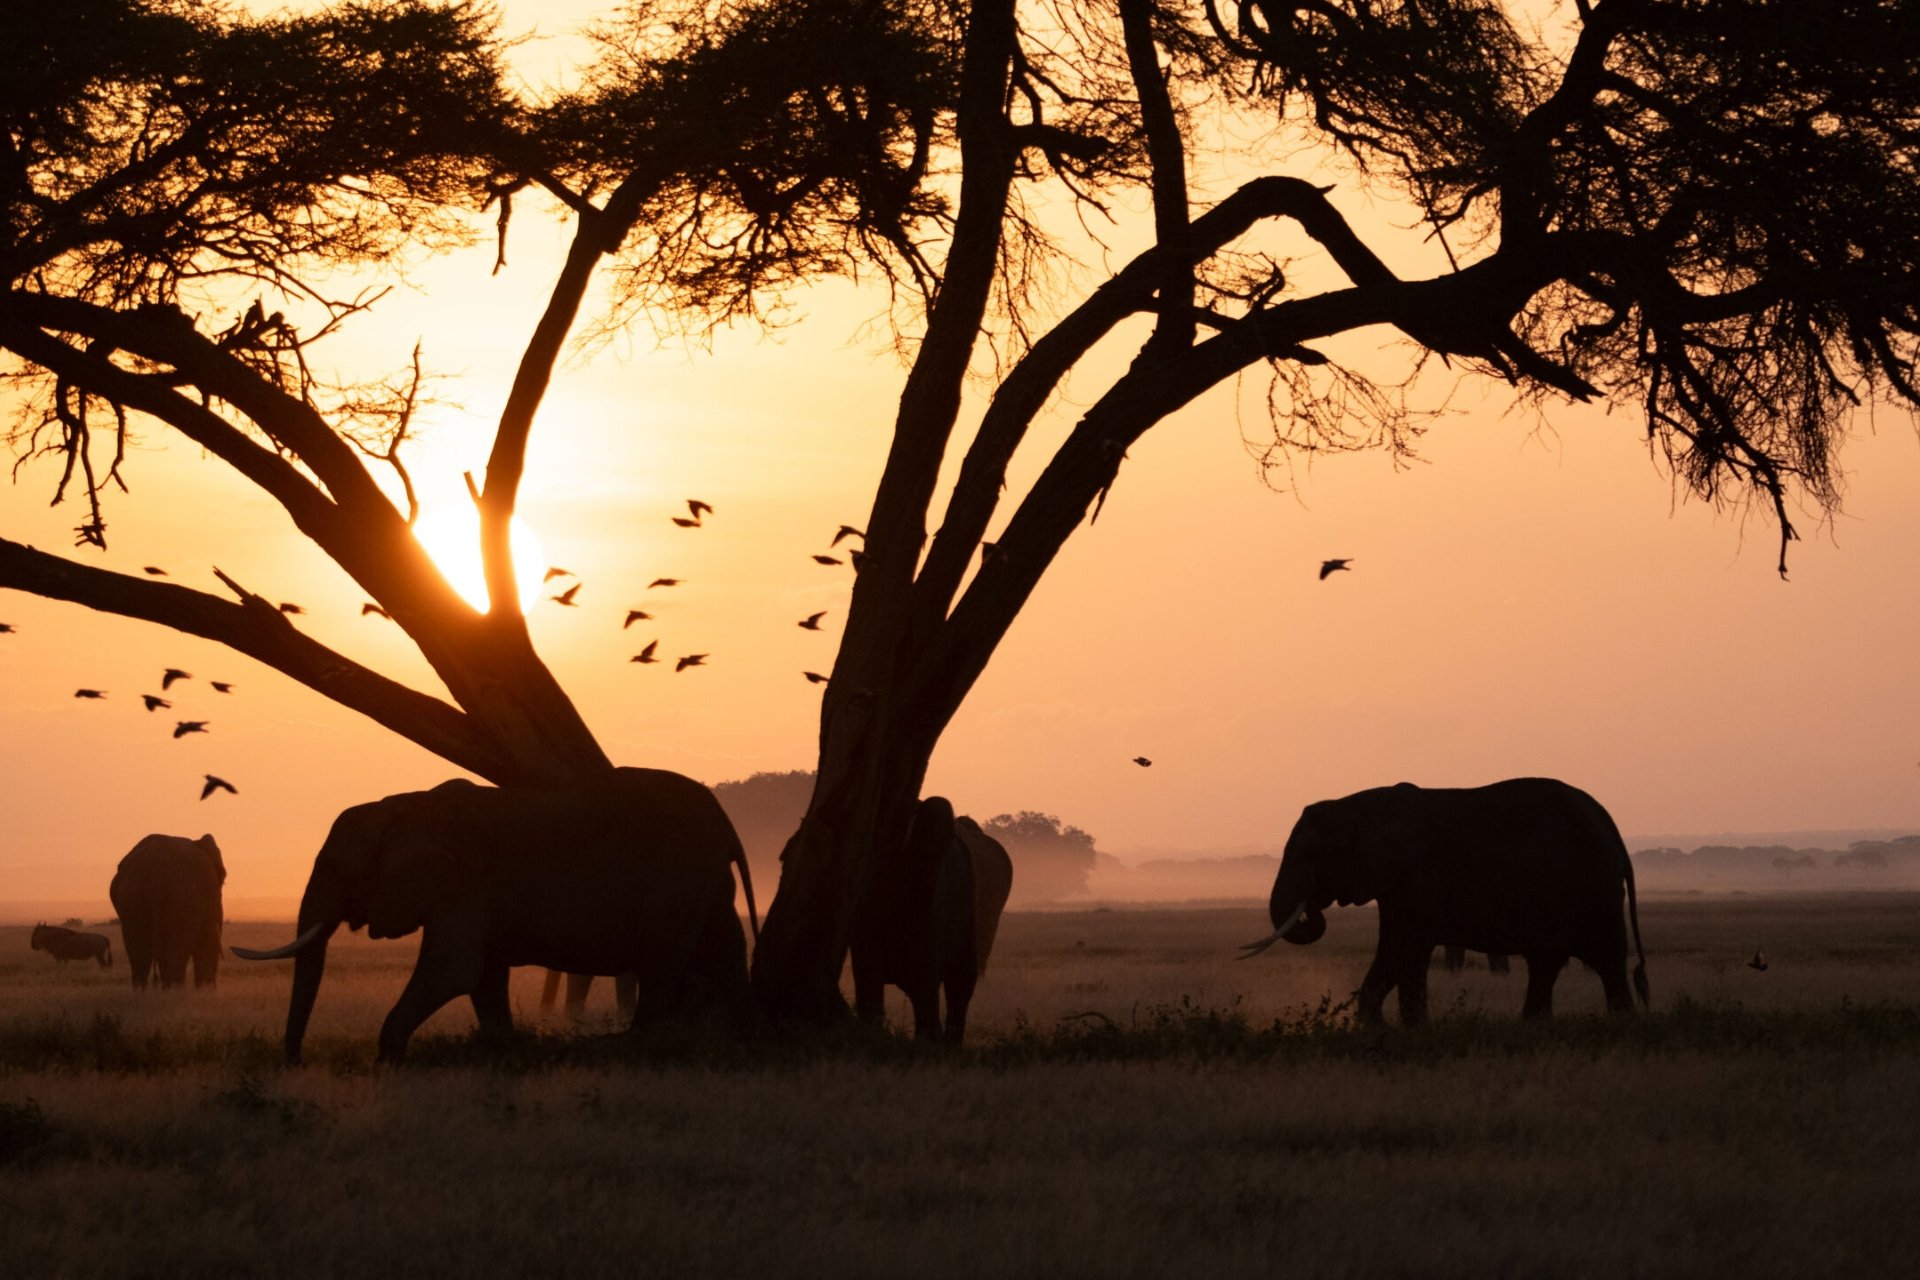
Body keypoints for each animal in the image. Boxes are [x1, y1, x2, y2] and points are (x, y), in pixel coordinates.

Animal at [108, 833, 225, 990]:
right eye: (223, 877)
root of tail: (156, 877)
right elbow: (207, 944)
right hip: (181, 900)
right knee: (174, 956)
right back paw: (174, 991)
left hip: (130, 899)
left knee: (139, 955)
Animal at [234, 769, 759, 1063]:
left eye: (334, 868)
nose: (295, 1062)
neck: (404, 805)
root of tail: (724, 822)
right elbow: (482, 975)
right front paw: (504, 1051)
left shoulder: (468, 881)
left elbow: (453, 968)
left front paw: (388, 1058)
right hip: (704, 885)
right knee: (725, 953)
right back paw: (744, 1039)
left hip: (678, 882)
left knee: (662, 967)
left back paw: (637, 1048)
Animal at [1241, 778, 1648, 1024]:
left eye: (1313, 853)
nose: (1311, 907)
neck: (1359, 804)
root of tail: (1610, 824)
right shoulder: (1395, 884)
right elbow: (1390, 952)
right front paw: (1376, 1030)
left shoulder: (1419, 878)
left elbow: (1407, 951)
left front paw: (1413, 1032)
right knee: (1546, 961)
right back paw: (1533, 1026)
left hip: (1594, 891)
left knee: (1606, 957)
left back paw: (1621, 1025)